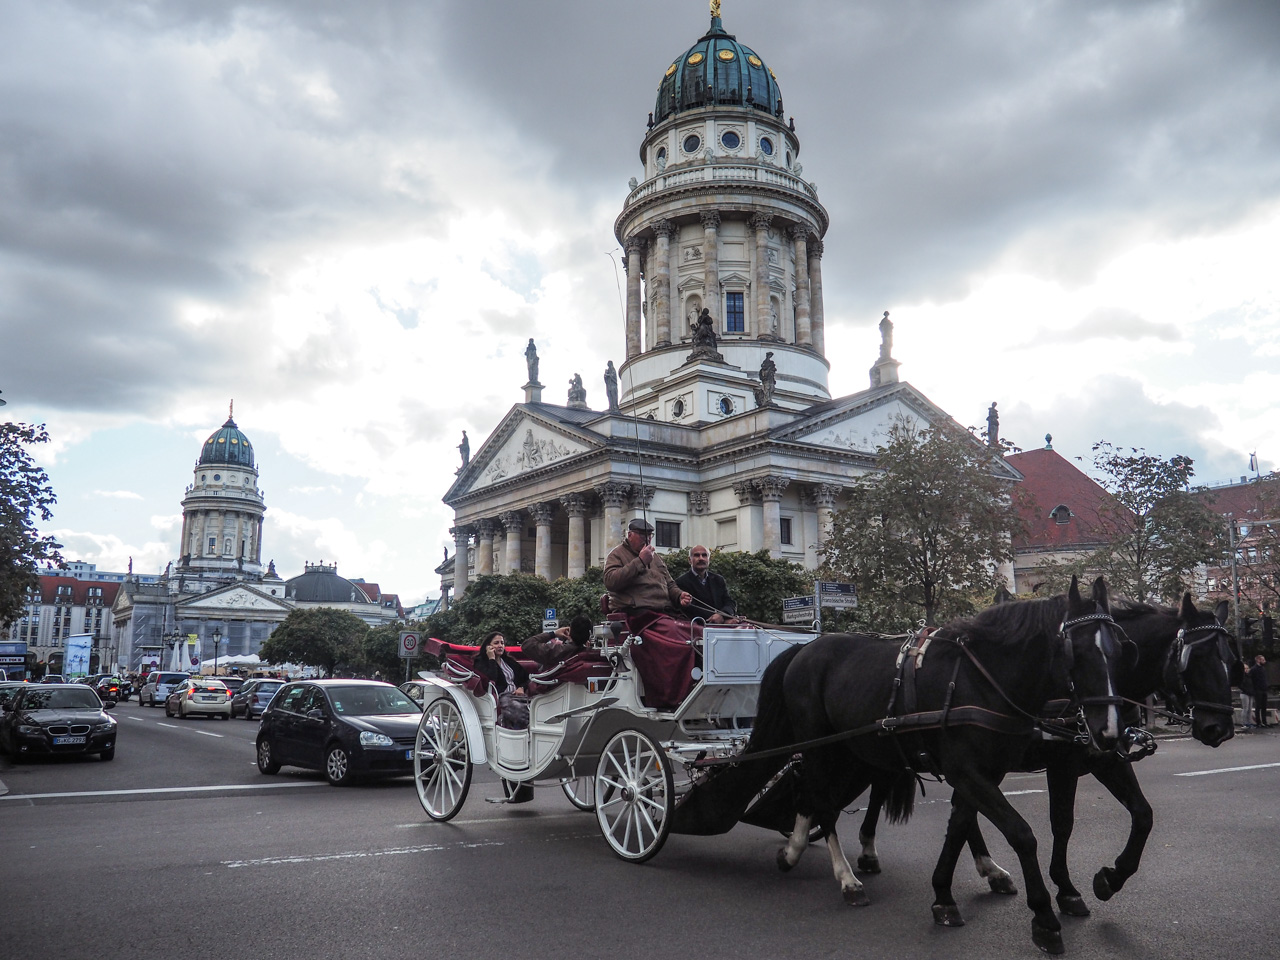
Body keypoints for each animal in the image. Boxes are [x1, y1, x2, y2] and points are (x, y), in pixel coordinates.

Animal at [747, 578, 1126, 957]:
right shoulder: (967, 771)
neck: (981, 679)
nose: (1108, 732)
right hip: (821, 748)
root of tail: (805, 648)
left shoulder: (983, 773)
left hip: (853, 752)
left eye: (1120, 650)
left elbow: (959, 825)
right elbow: (1020, 833)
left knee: (813, 795)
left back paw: (798, 851)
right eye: (1078, 652)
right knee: (820, 800)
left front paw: (945, 894)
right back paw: (844, 877)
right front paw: (1044, 918)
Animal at [849, 593, 1239, 916]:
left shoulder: (1104, 759)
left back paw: (988, 870)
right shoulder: (1062, 765)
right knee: (894, 794)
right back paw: (868, 853)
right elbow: (1062, 823)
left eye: (1230, 658)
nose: (1220, 728)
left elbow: (1142, 815)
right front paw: (1066, 889)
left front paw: (1111, 878)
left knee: (960, 811)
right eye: (1196, 656)